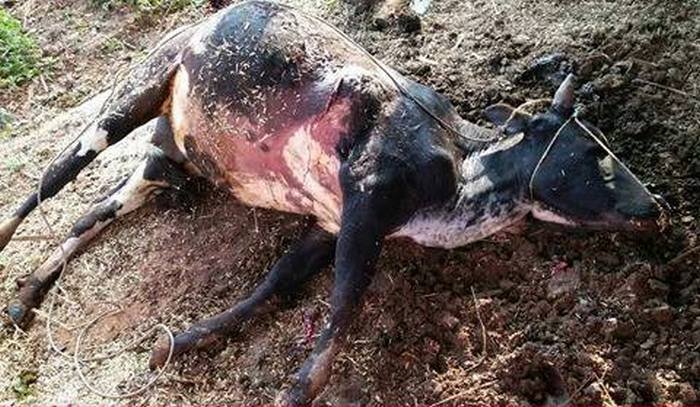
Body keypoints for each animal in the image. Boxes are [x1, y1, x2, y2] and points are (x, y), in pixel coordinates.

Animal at [0, 1, 663, 403]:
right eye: (591, 149)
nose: (654, 208)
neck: (458, 174)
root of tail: (207, 20)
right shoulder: (366, 203)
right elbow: (343, 308)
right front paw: (296, 390)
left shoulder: (327, 222)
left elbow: (275, 285)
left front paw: (180, 342)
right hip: (129, 99)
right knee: (46, 183)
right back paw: (12, 252)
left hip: (168, 165)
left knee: (90, 213)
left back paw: (26, 296)